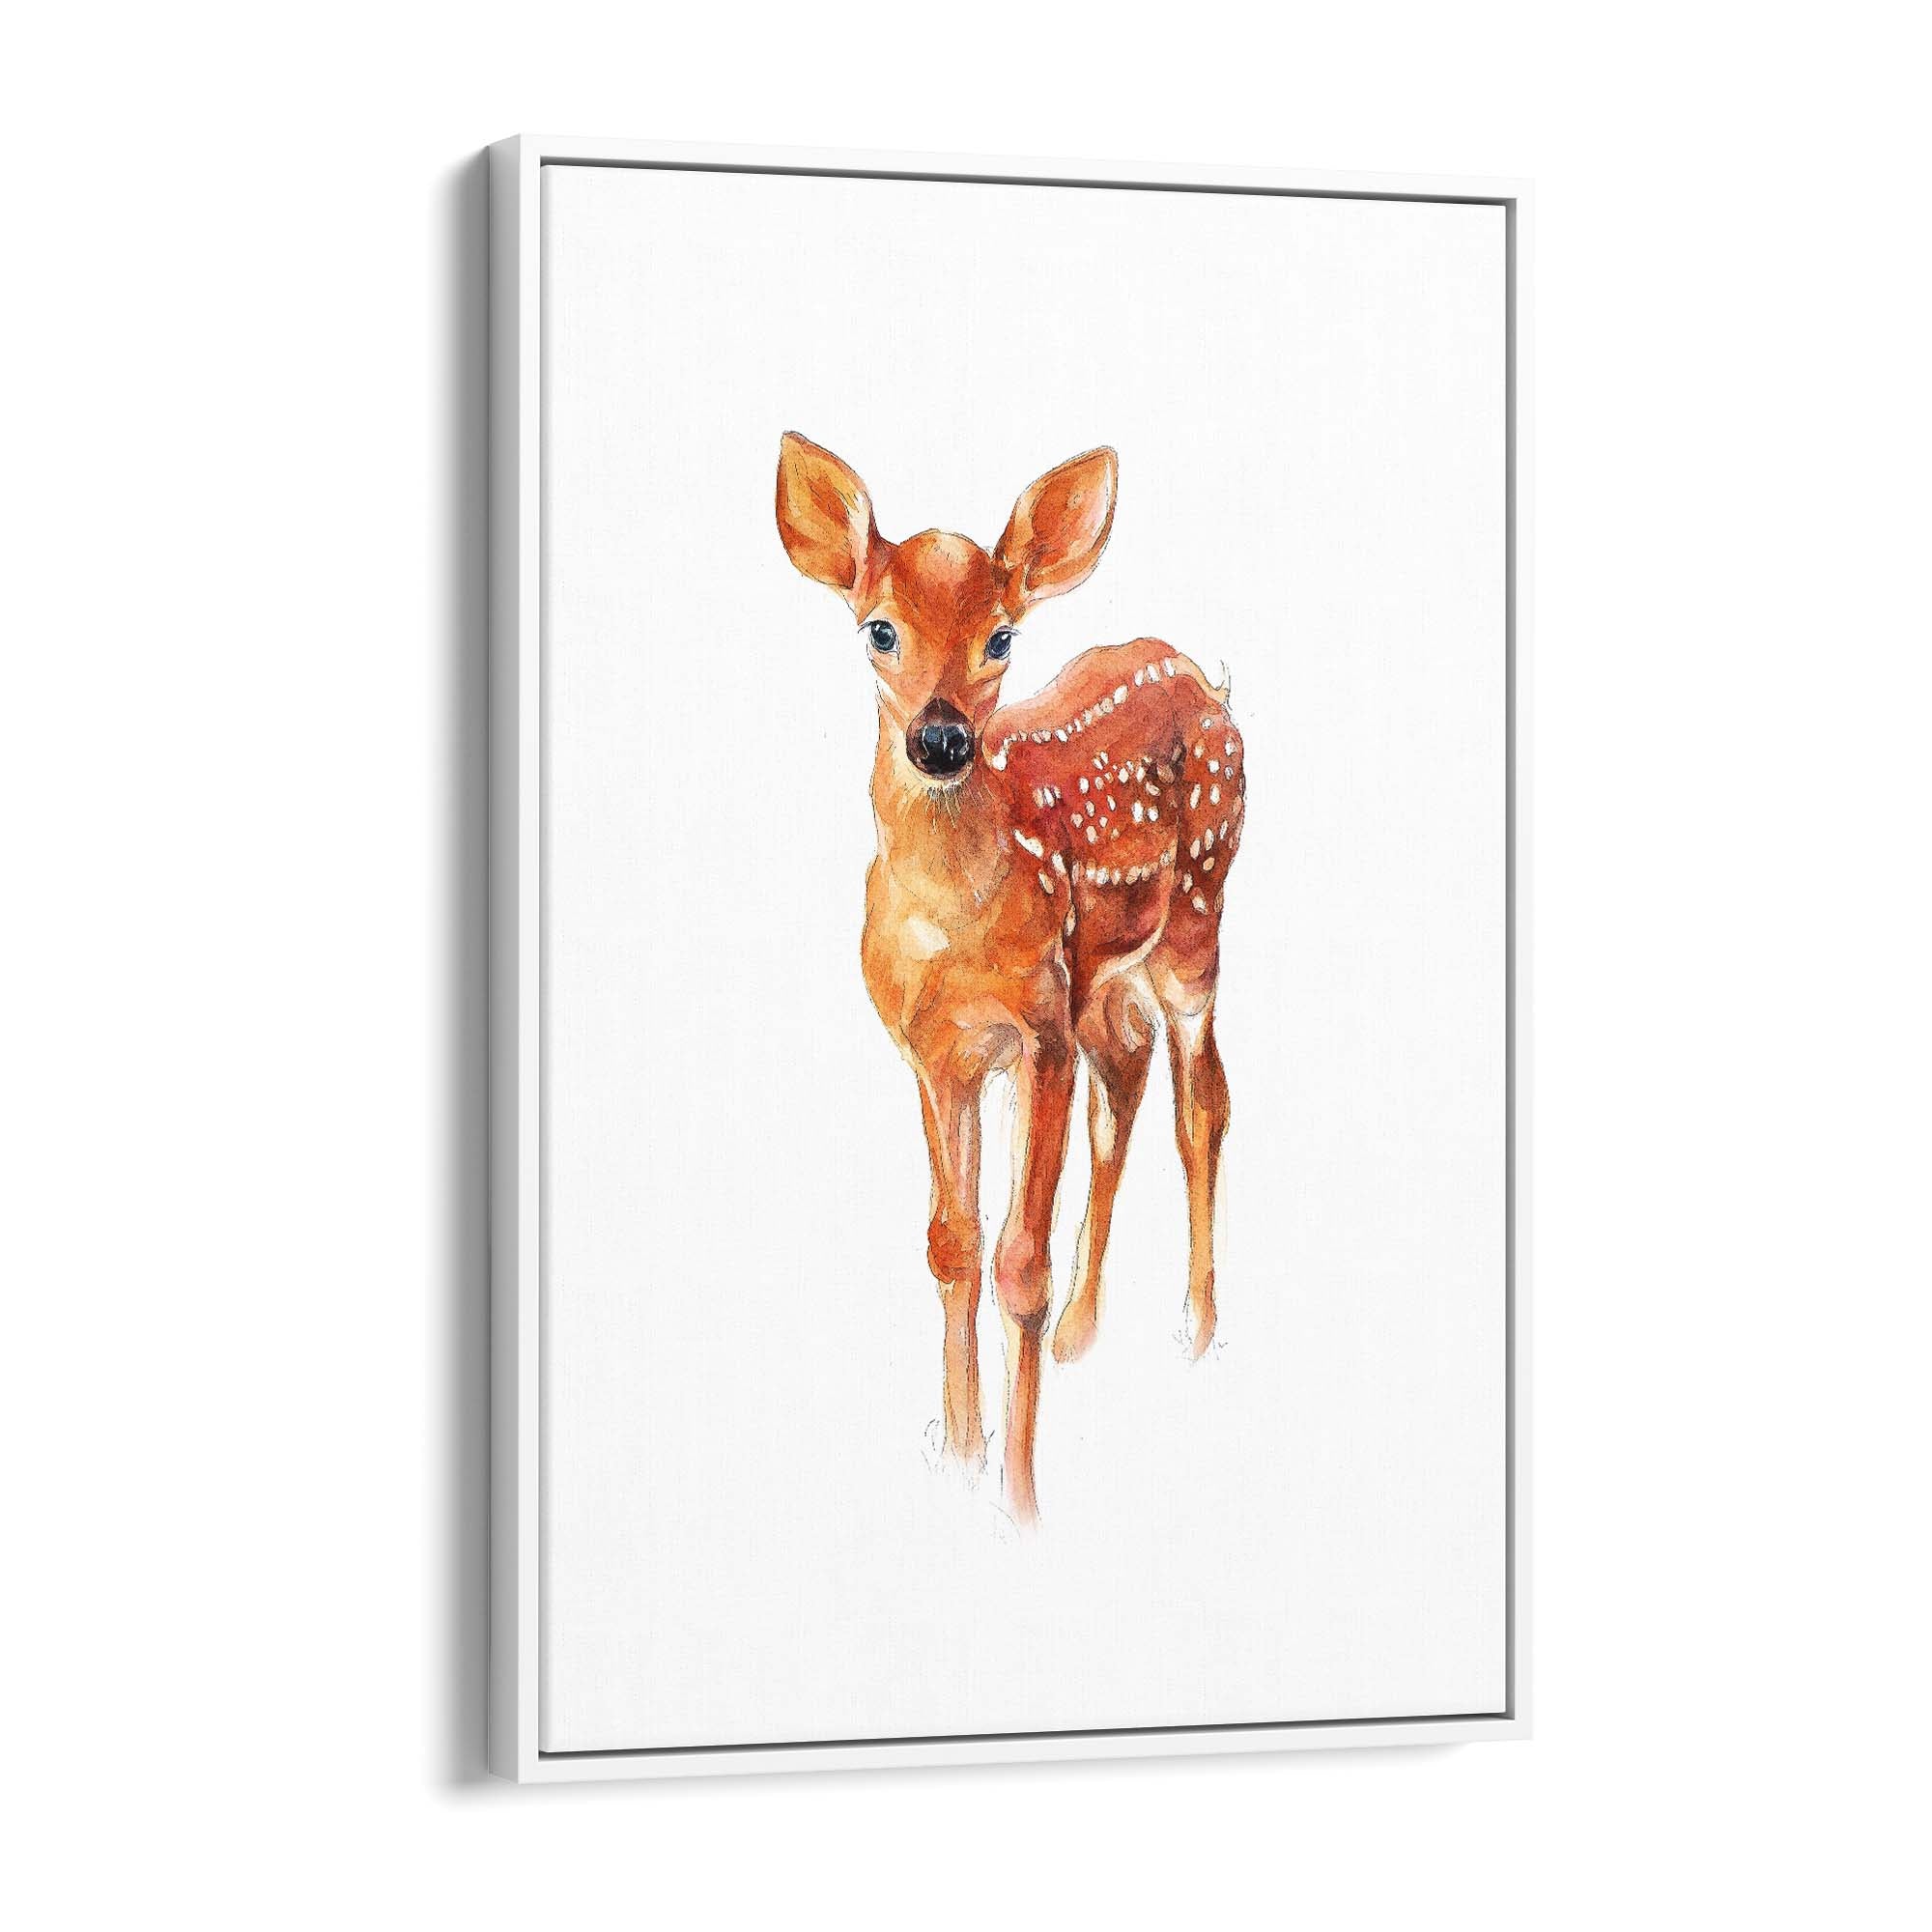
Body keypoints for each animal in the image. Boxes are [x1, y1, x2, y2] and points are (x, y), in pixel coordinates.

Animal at [775, 434, 1243, 1522]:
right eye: (879, 629)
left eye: (1000, 638)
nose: (942, 738)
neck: (952, 927)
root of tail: (1203, 681)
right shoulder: (934, 1052)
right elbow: (951, 1244)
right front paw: (956, 1453)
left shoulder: (1037, 1032)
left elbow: (1016, 1263)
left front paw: (1019, 1495)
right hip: (1101, 978)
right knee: (1129, 1079)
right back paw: (1082, 1332)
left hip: (1197, 919)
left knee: (1201, 1099)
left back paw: (1197, 1329)